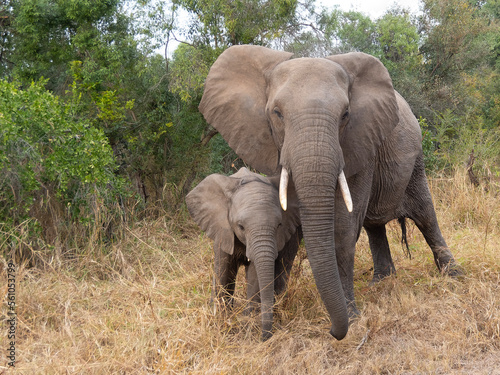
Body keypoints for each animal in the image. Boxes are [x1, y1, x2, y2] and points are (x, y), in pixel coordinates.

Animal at [185, 167, 298, 340]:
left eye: (279, 225)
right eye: (241, 226)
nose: (266, 337)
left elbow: (254, 275)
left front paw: (247, 325)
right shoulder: (223, 230)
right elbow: (223, 271)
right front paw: (222, 320)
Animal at [198, 44, 460, 340]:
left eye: (345, 115)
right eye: (276, 113)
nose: (334, 331)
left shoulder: (360, 141)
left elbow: (342, 228)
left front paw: (352, 317)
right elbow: (288, 225)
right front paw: (277, 307)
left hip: (415, 161)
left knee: (425, 215)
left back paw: (453, 276)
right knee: (374, 225)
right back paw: (381, 281)